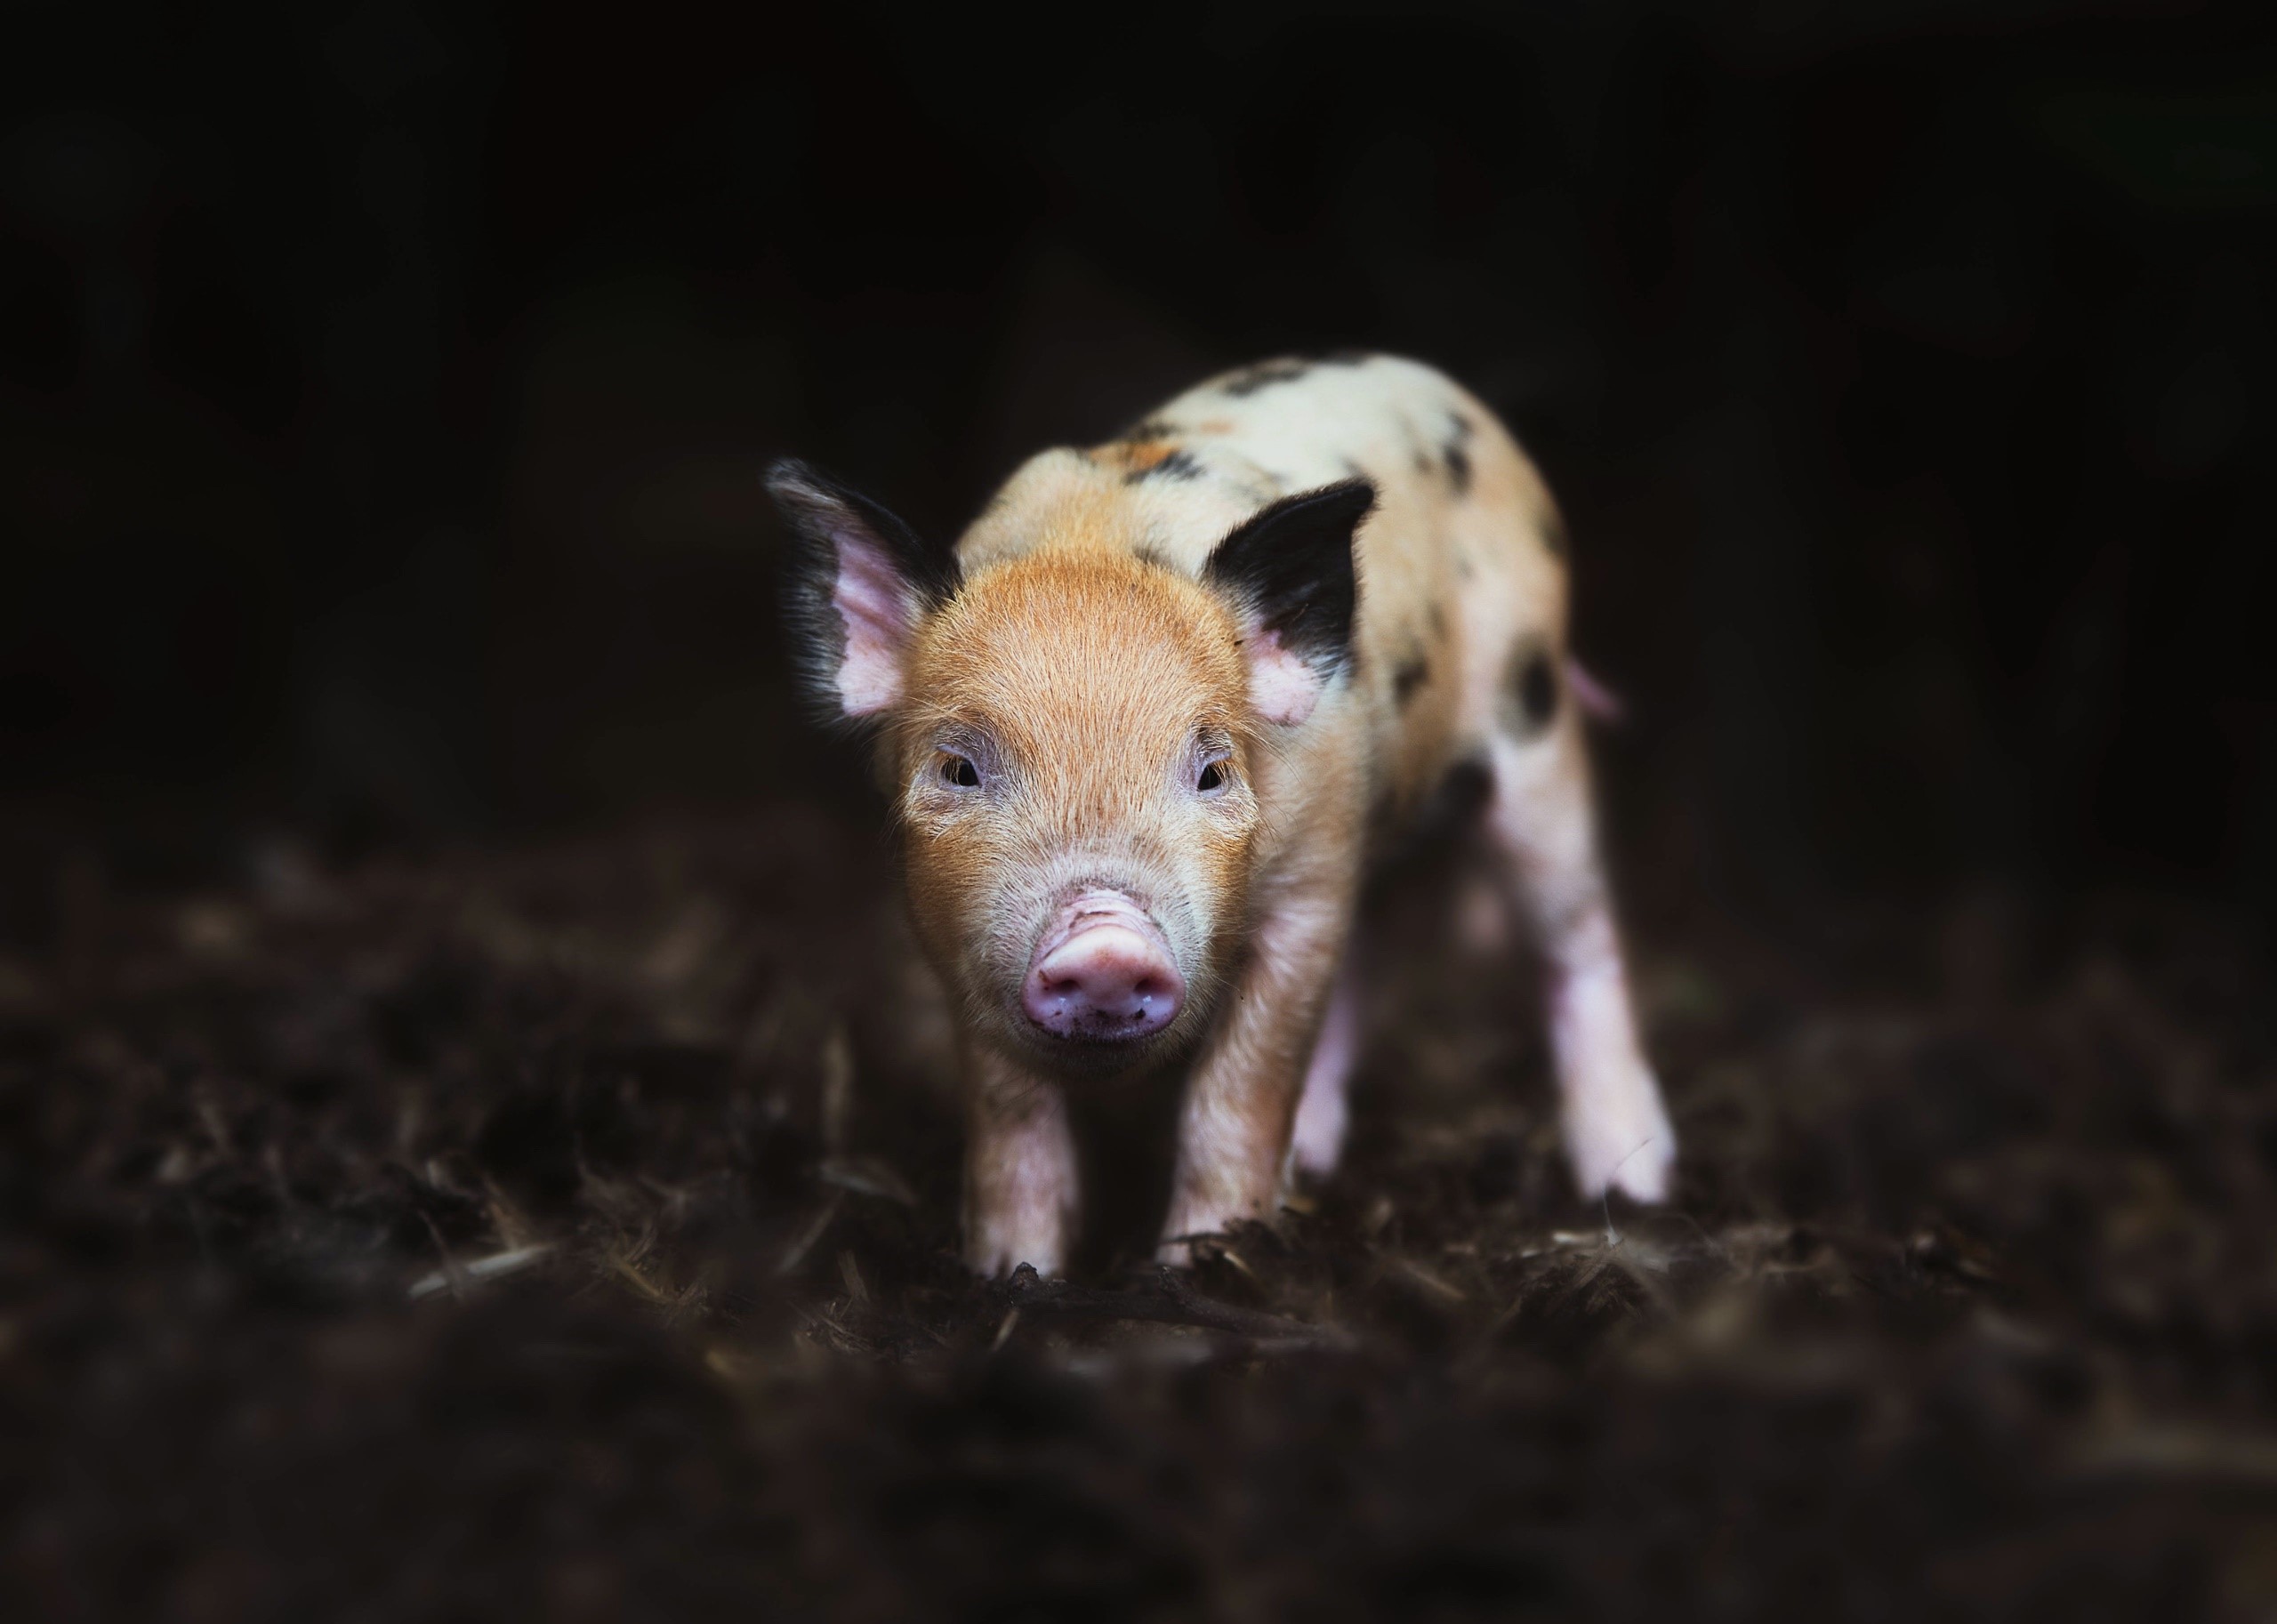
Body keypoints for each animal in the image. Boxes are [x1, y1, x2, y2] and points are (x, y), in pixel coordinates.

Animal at [766, 353, 1675, 1276]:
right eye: (959, 769)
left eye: (1211, 772)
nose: (1105, 942)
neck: (1089, 545)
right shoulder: (951, 934)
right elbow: (1008, 1118)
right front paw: (1015, 1273)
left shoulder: (1308, 887)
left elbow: (1241, 1089)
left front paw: (1193, 1266)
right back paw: (1318, 1157)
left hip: (1533, 736)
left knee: (1578, 936)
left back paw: (1635, 1177)